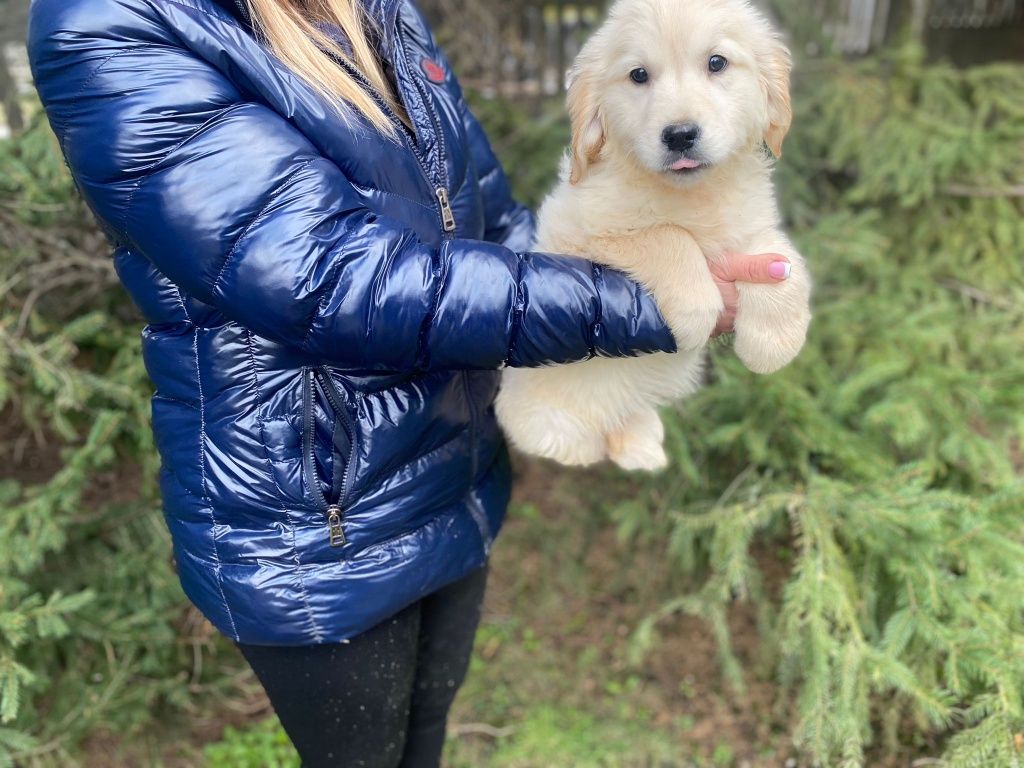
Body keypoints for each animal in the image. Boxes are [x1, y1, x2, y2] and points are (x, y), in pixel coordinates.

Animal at [497, 0, 815, 468]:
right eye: (638, 75)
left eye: (716, 63)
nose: (679, 135)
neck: (692, 194)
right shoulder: (581, 231)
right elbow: (668, 236)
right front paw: (696, 312)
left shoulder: (752, 227)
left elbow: (785, 263)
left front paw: (774, 343)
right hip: (548, 419)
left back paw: (642, 445)